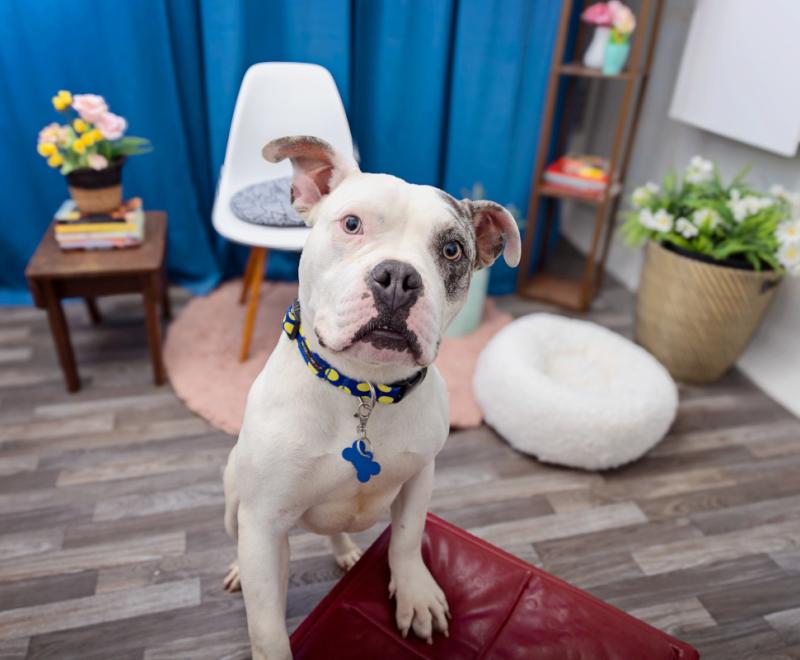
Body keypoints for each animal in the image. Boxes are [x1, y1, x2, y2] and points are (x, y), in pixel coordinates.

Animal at [222, 135, 520, 660]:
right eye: (352, 224)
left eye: (452, 249)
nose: (399, 278)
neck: (363, 390)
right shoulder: (262, 525)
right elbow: (266, 624)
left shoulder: (421, 477)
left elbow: (407, 538)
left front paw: (415, 594)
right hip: (233, 493)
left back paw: (345, 550)